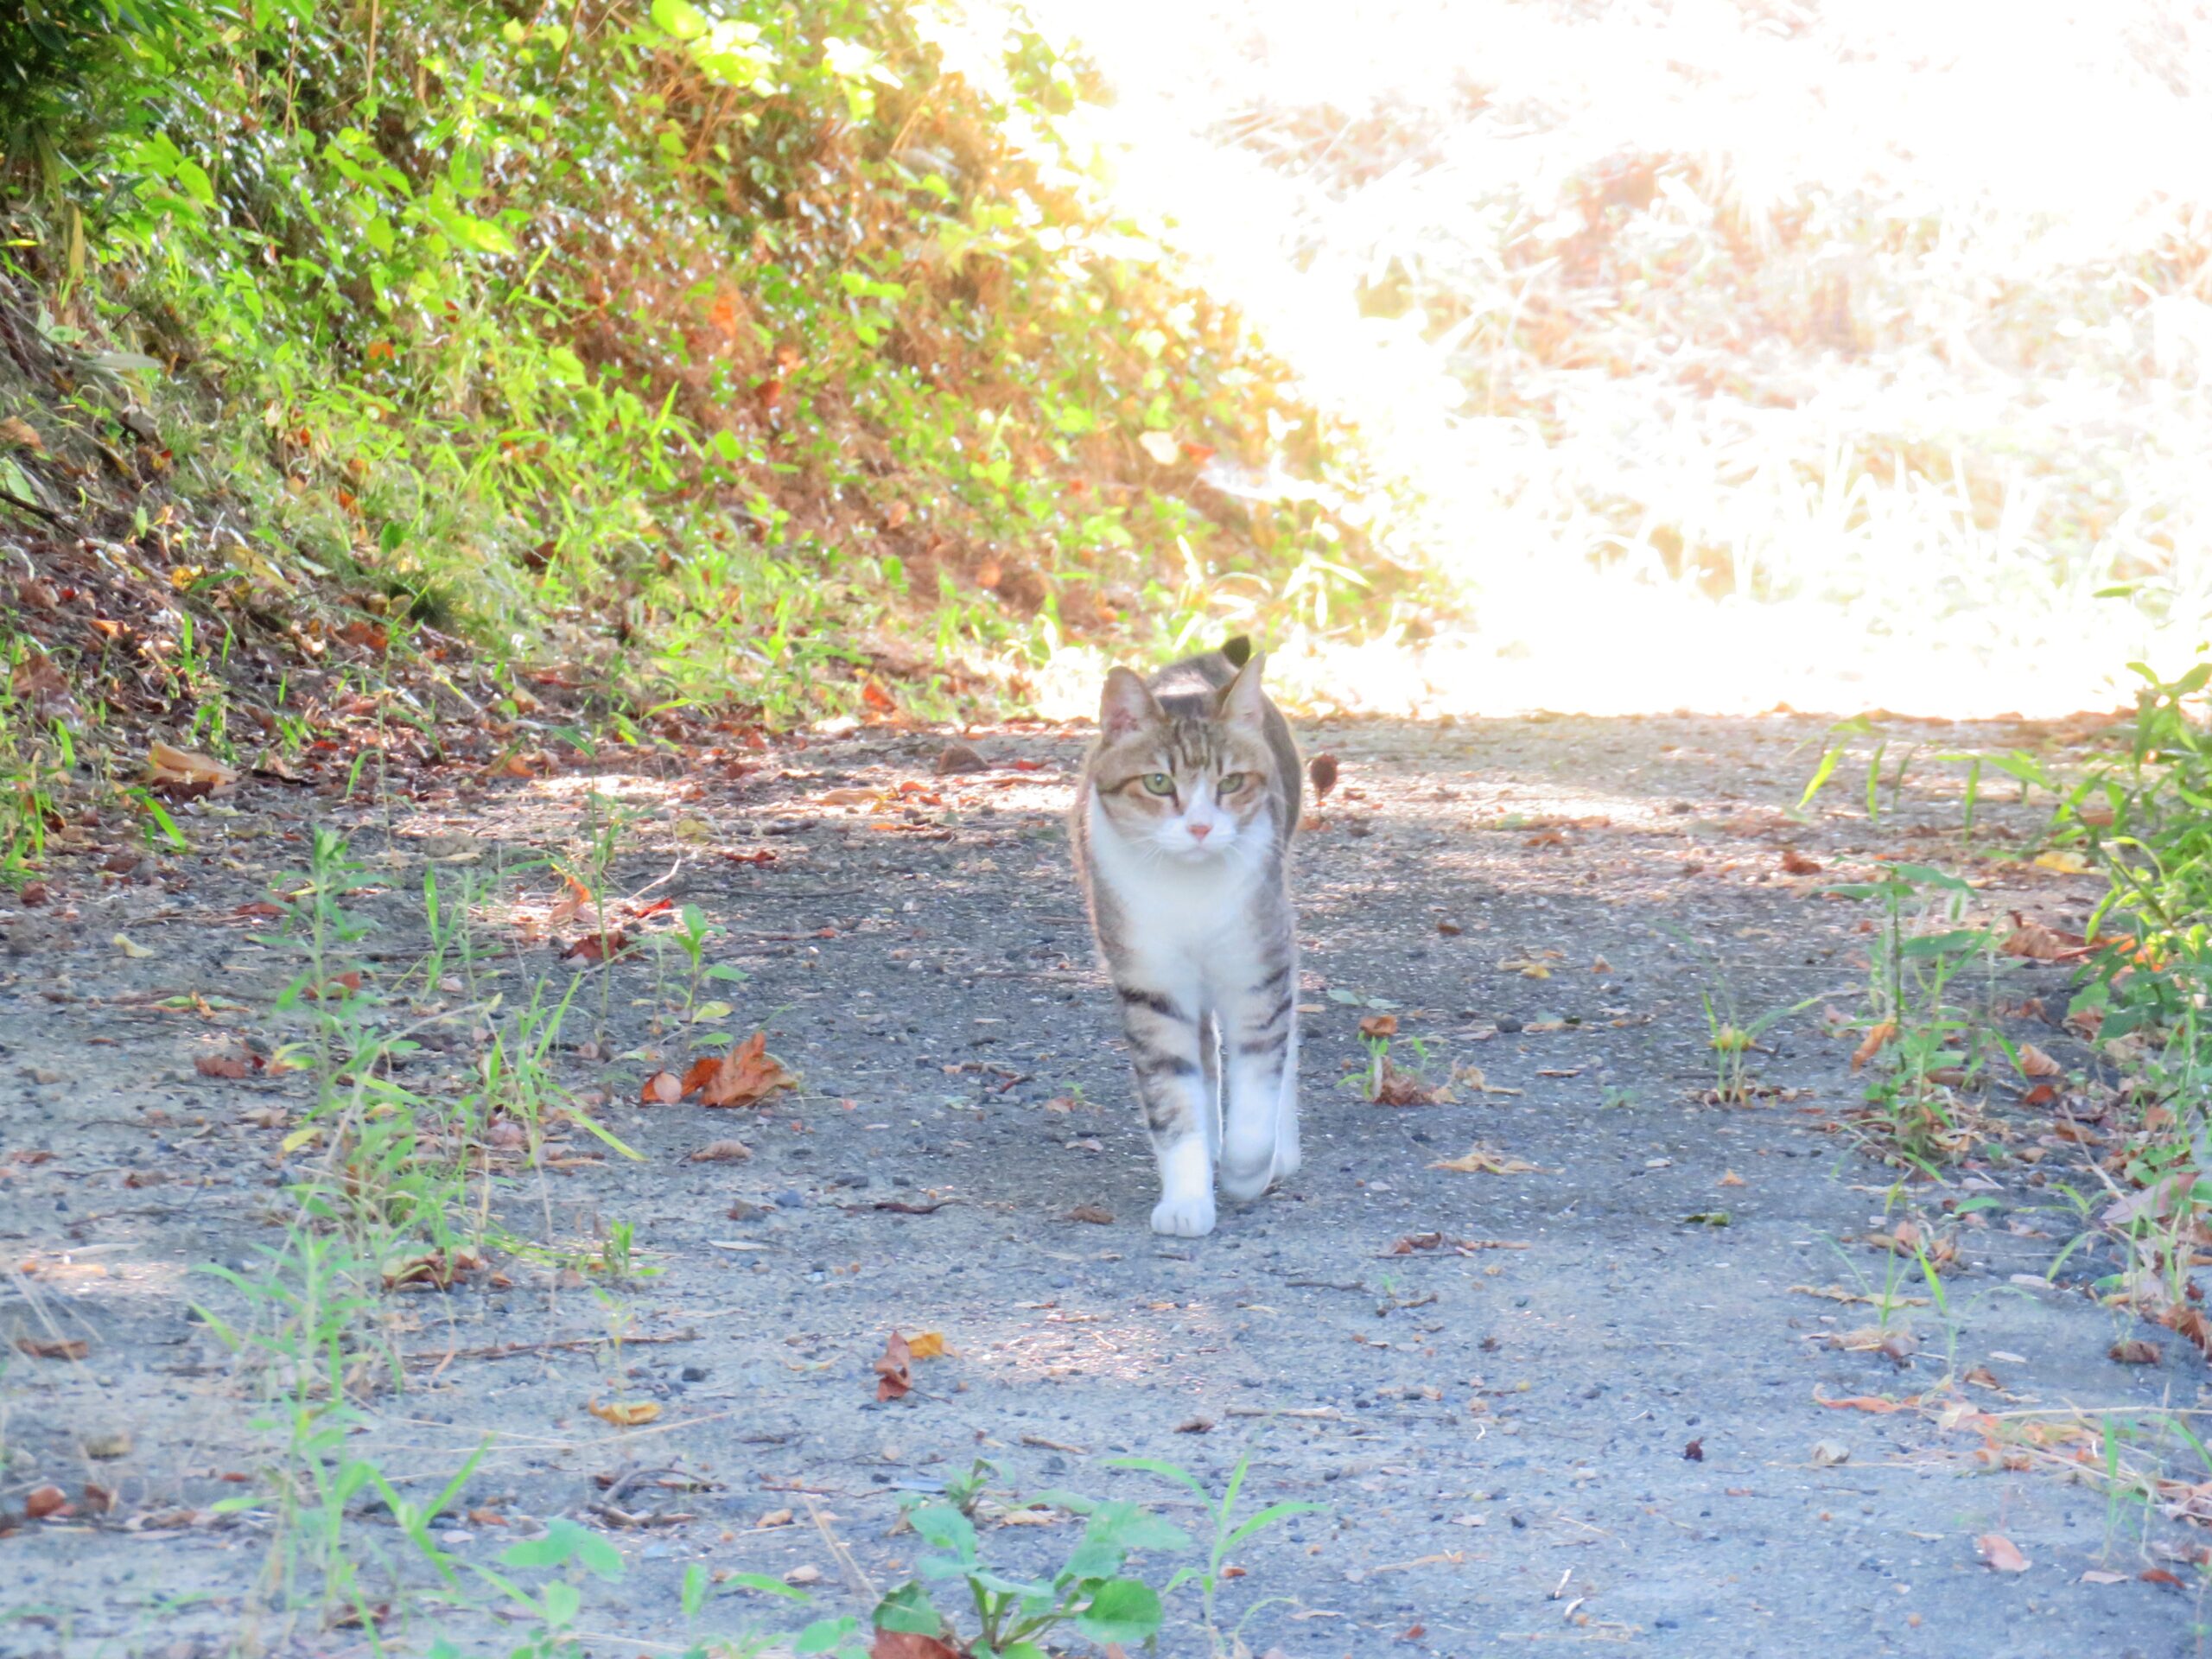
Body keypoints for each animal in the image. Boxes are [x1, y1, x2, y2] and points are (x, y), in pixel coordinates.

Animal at [1065, 637, 1292, 1238]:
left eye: (1231, 783)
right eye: (1158, 783)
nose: (1200, 827)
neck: (1191, 890)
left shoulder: (1258, 970)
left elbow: (1260, 1078)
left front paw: (1245, 1170)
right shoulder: (1151, 983)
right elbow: (1172, 1095)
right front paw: (1189, 1196)